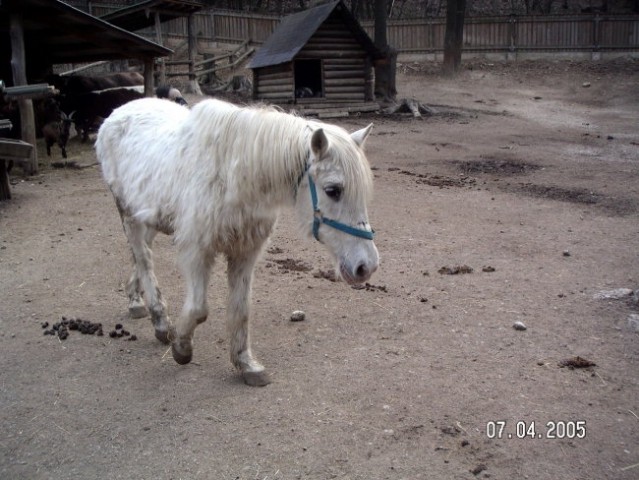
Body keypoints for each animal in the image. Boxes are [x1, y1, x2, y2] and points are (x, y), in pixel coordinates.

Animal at [96, 98, 380, 386]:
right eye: (333, 190)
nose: (366, 266)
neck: (233, 177)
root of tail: (118, 112)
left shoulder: (245, 251)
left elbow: (241, 309)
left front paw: (246, 364)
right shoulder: (197, 249)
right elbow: (199, 309)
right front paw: (182, 347)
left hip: (151, 217)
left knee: (142, 253)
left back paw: (136, 299)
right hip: (128, 214)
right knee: (142, 257)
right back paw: (159, 320)